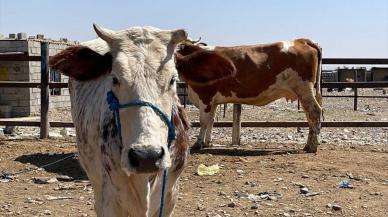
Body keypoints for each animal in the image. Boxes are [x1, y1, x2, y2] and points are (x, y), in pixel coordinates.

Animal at [175, 39, 322, 154]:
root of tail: (301, 40)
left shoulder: (205, 97)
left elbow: (203, 122)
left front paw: (198, 144)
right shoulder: (213, 101)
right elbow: (211, 121)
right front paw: (208, 143)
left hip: (303, 88)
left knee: (314, 112)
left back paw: (311, 147)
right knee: (310, 115)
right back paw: (308, 145)